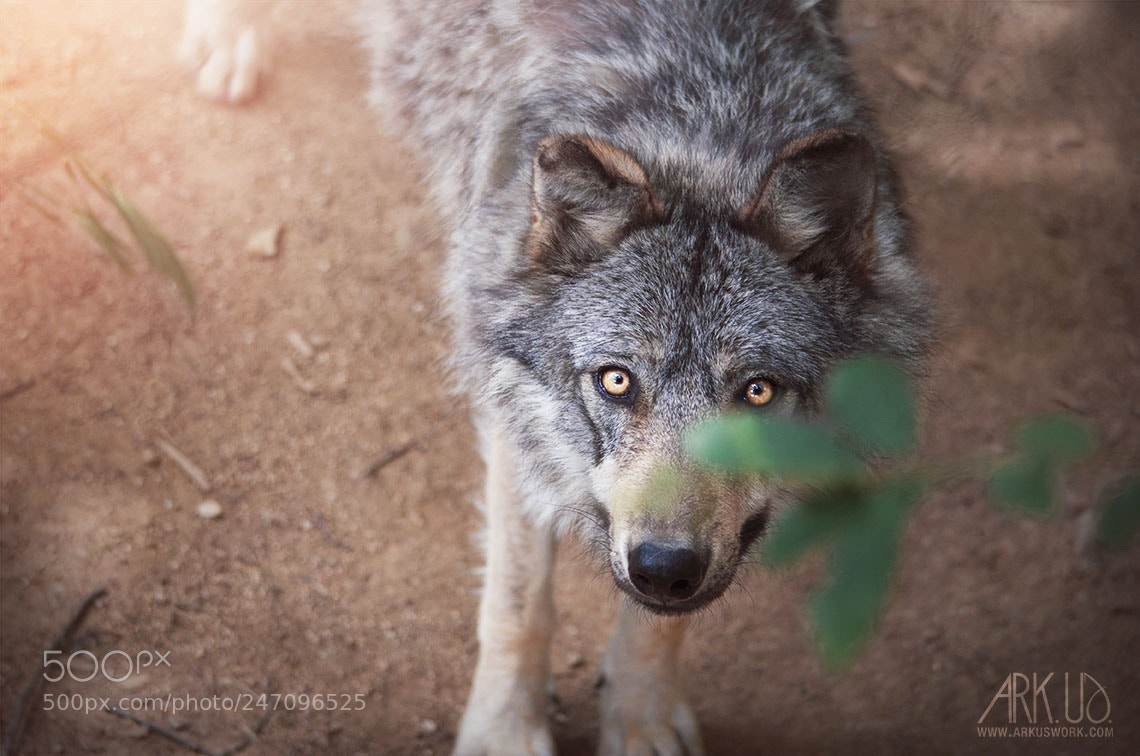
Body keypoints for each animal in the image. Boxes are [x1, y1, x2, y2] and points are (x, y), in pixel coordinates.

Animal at [181, 0, 931, 753]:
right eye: (616, 381)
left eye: (757, 391)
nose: (664, 567)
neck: (699, 112)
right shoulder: (516, 421)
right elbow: (518, 607)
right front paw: (506, 733)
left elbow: (661, 627)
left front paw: (639, 720)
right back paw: (225, 41)